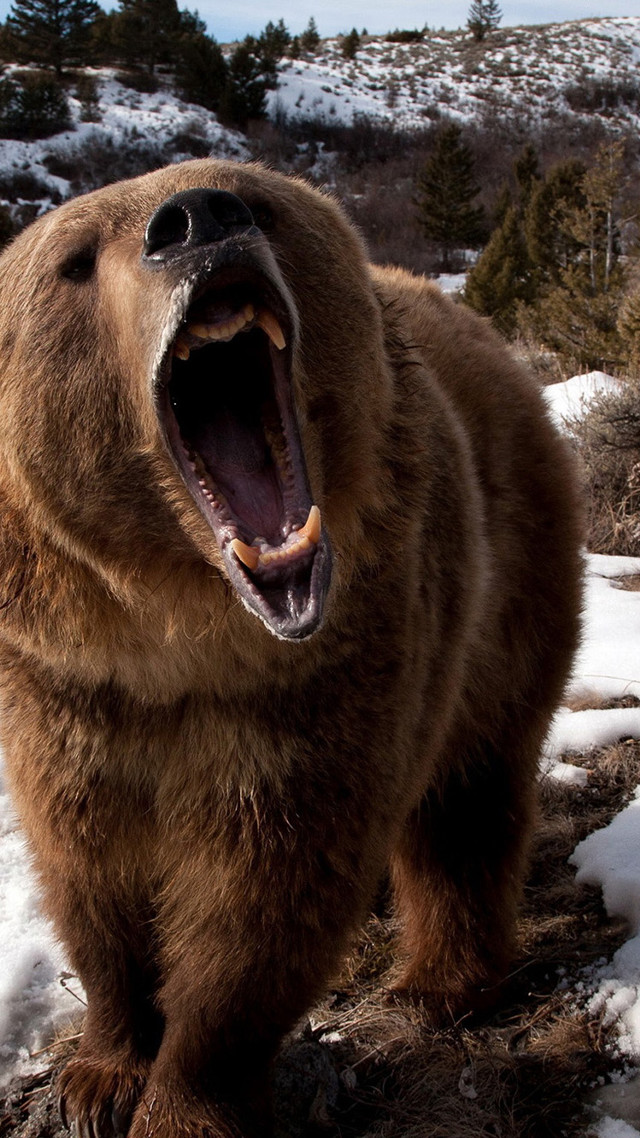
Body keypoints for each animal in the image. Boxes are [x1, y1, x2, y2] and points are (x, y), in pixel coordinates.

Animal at [0, 159, 583, 1138]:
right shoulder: (66, 692)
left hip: (506, 585)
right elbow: (91, 874)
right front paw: (100, 1074)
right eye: (73, 261)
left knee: (468, 795)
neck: (180, 636)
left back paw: (439, 983)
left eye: (256, 200)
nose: (197, 219)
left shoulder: (321, 678)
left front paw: (182, 1102)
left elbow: (265, 901)